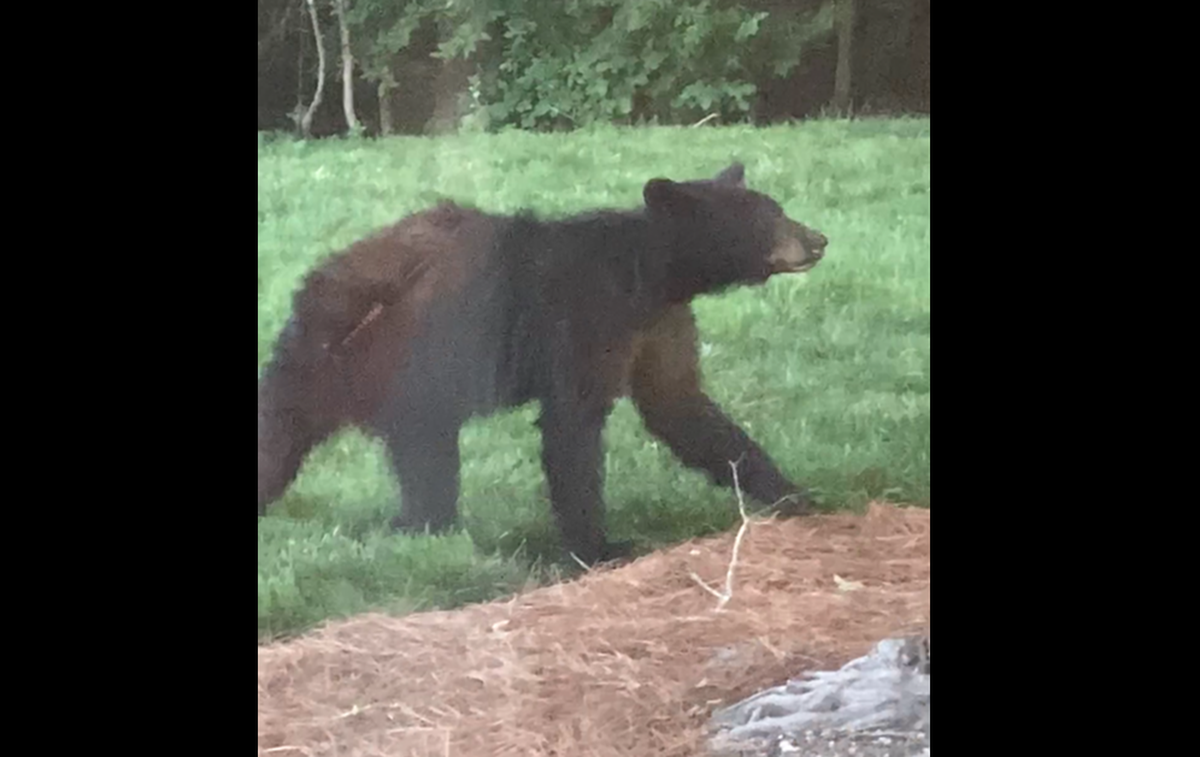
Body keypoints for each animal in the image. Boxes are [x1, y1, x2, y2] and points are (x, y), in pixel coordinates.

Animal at [258, 162, 829, 565]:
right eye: (768, 215)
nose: (819, 239)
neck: (651, 275)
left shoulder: (659, 325)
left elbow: (681, 406)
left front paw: (792, 493)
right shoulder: (586, 319)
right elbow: (572, 424)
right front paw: (600, 547)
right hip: (392, 360)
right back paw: (426, 526)